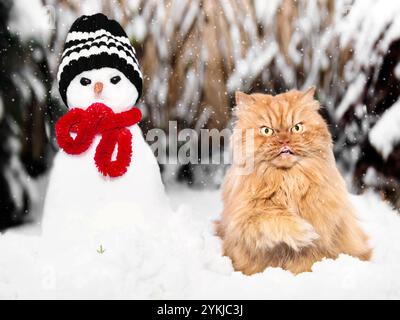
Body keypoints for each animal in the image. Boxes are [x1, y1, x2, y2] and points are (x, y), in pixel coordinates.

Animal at [216, 88, 372, 276]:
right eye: (267, 131)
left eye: (296, 128)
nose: (284, 140)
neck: (287, 180)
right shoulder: (245, 218)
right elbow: (273, 218)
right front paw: (303, 231)